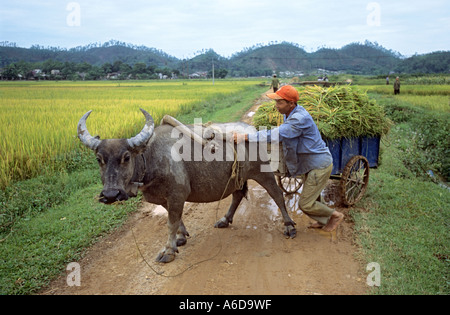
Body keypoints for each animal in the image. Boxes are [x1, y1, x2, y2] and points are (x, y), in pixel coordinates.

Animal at [77, 110, 296, 262]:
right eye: (99, 159)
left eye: (126, 157)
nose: (111, 195)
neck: (152, 156)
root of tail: (252, 131)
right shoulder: (165, 198)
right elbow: (174, 218)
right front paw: (180, 238)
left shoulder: (177, 194)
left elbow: (171, 222)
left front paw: (168, 250)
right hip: (237, 177)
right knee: (238, 195)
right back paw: (225, 220)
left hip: (264, 172)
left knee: (276, 194)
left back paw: (289, 226)